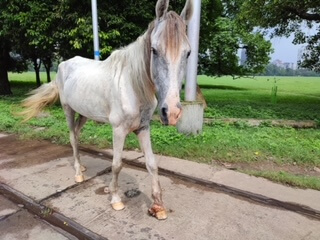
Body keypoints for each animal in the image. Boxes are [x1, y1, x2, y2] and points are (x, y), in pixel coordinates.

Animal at [20, 0, 192, 219]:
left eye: (188, 53)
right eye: (154, 50)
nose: (171, 112)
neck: (133, 85)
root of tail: (64, 64)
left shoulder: (143, 128)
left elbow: (152, 163)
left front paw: (158, 206)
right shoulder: (118, 130)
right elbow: (116, 164)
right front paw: (116, 200)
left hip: (84, 113)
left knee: (77, 135)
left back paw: (81, 165)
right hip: (68, 109)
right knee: (72, 137)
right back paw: (78, 174)